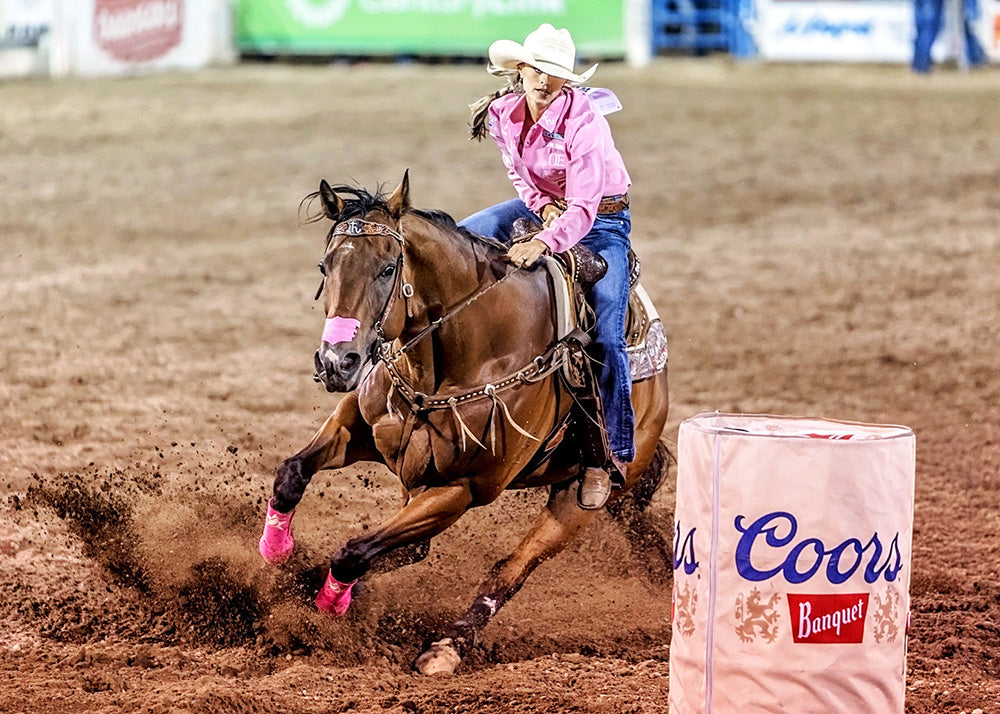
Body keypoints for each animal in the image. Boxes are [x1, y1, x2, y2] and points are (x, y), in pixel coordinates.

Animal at [258, 172, 671, 674]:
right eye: (325, 266)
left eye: (388, 269)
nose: (338, 362)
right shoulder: (355, 426)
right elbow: (292, 473)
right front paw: (276, 557)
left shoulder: (460, 489)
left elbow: (353, 553)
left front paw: (322, 611)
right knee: (411, 549)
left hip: (580, 499)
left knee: (509, 568)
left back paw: (445, 648)